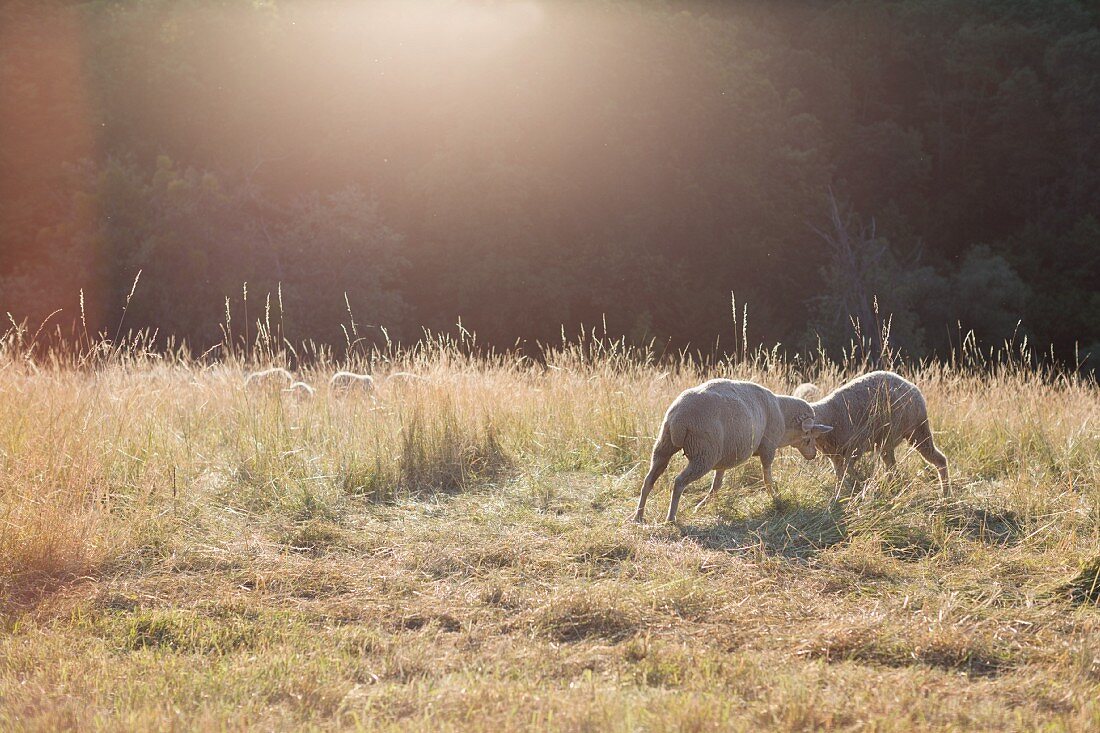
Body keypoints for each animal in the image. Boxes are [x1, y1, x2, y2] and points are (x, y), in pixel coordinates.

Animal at [633, 378, 827, 521]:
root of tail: (679, 417)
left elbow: (717, 485)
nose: (813, 456)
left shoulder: (724, 458)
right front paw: (776, 498)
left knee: (649, 480)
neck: (782, 413)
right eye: (809, 437)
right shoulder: (768, 448)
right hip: (704, 455)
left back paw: (639, 516)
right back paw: (671, 518)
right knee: (679, 482)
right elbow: (767, 478)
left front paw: (701, 506)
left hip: (665, 444)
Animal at [796, 372, 950, 490]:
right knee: (892, 466)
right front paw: (842, 491)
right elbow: (840, 474)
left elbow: (848, 469)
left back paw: (945, 495)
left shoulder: (855, 447)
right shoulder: (835, 455)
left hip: (917, 429)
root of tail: (912, 387)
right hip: (890, 440)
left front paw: (858, 484)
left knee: (940, 460)